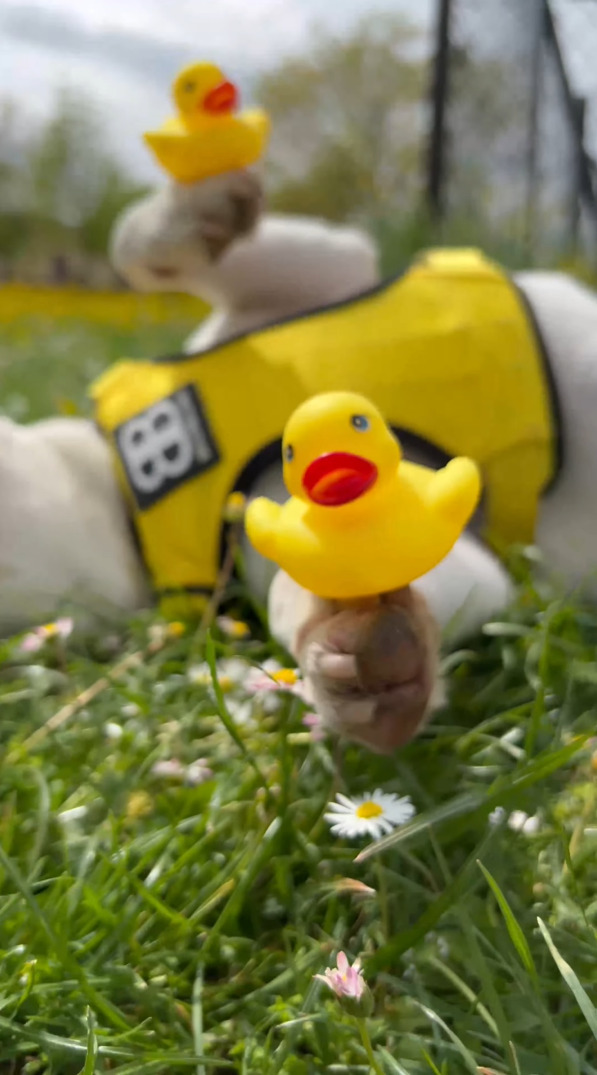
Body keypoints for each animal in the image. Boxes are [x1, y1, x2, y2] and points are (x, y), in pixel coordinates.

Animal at [2, 169, 593, 756]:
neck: (123, 489)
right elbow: (326, 585)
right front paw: (358, 670)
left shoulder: (324, 276)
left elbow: (136, 245)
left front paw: (204, 212)